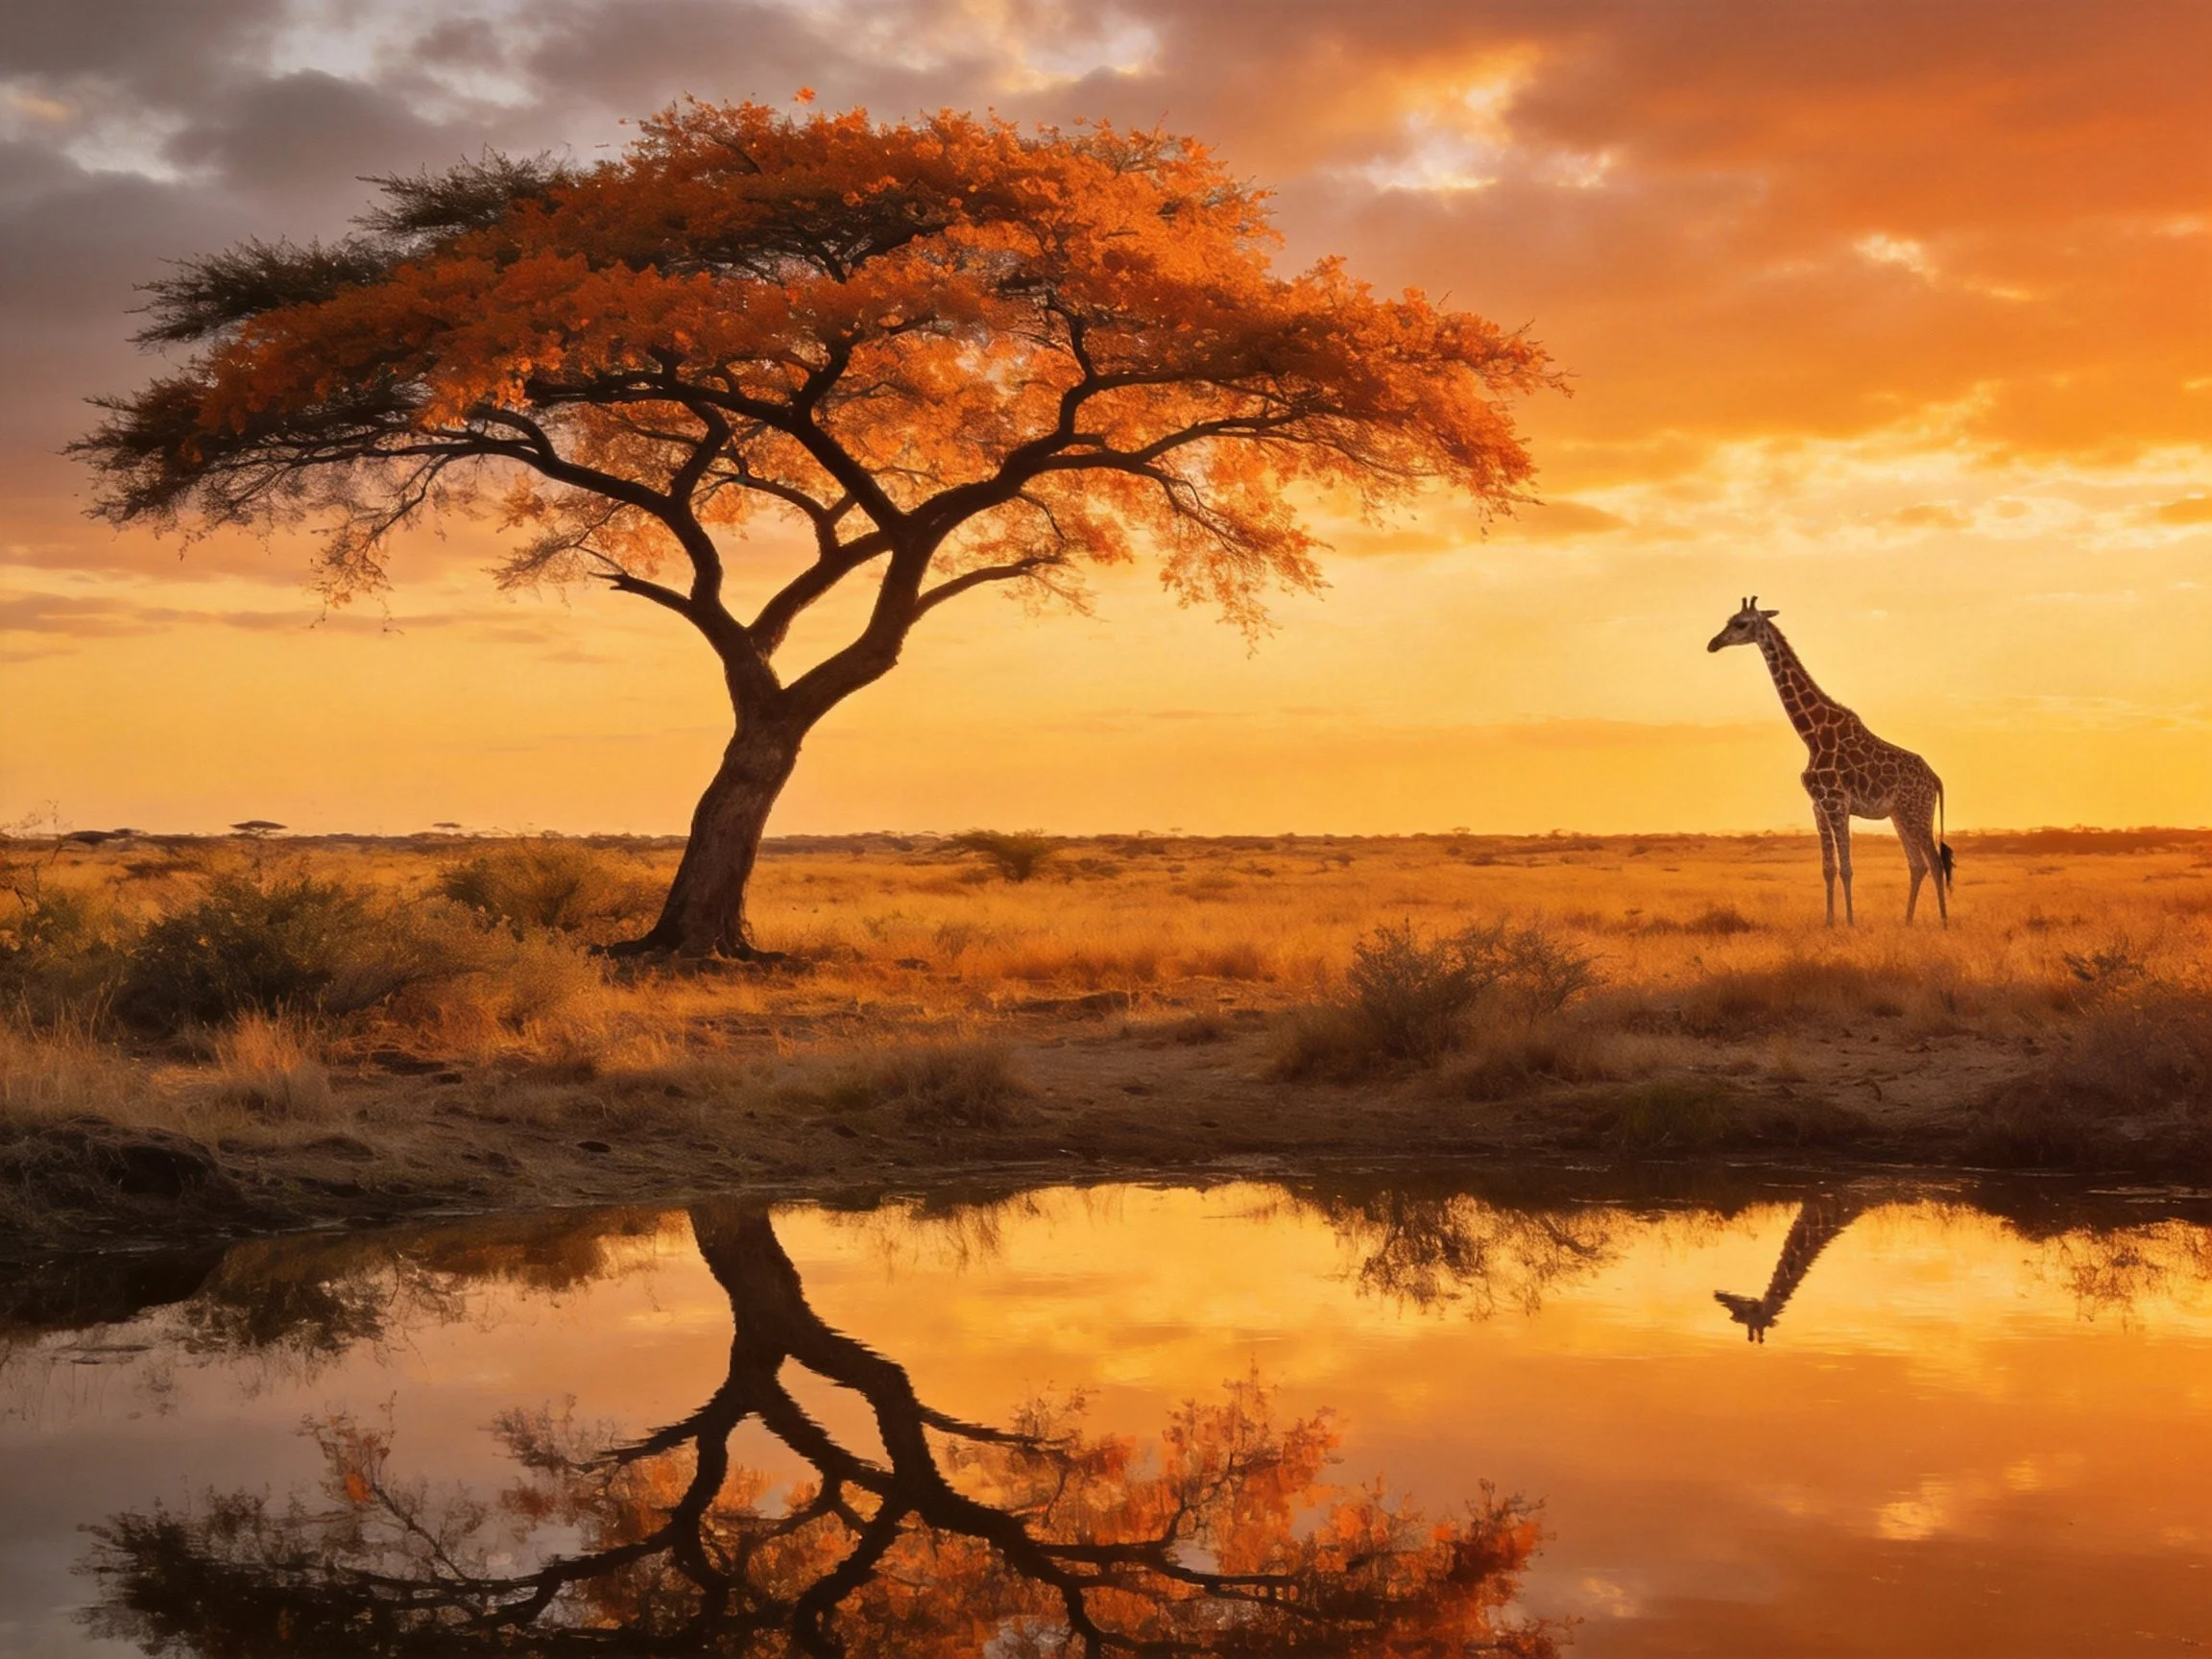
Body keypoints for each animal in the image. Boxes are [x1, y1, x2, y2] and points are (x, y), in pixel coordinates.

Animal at [1708, 598, 1953, 926]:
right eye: (1729, 619)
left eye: (1741, 623)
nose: (1713, 643)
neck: (1811, 734)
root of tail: (1935, 778)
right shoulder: (1818, 805)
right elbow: (1827, 868)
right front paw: (1829, 922)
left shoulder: (1837, 803)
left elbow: (1846, 868)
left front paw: (1849, 923)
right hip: (1899, 815)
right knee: (1918, 864)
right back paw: (1908, 922)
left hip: (1917, 811)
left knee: (1935, 863)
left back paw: (1944, 923)